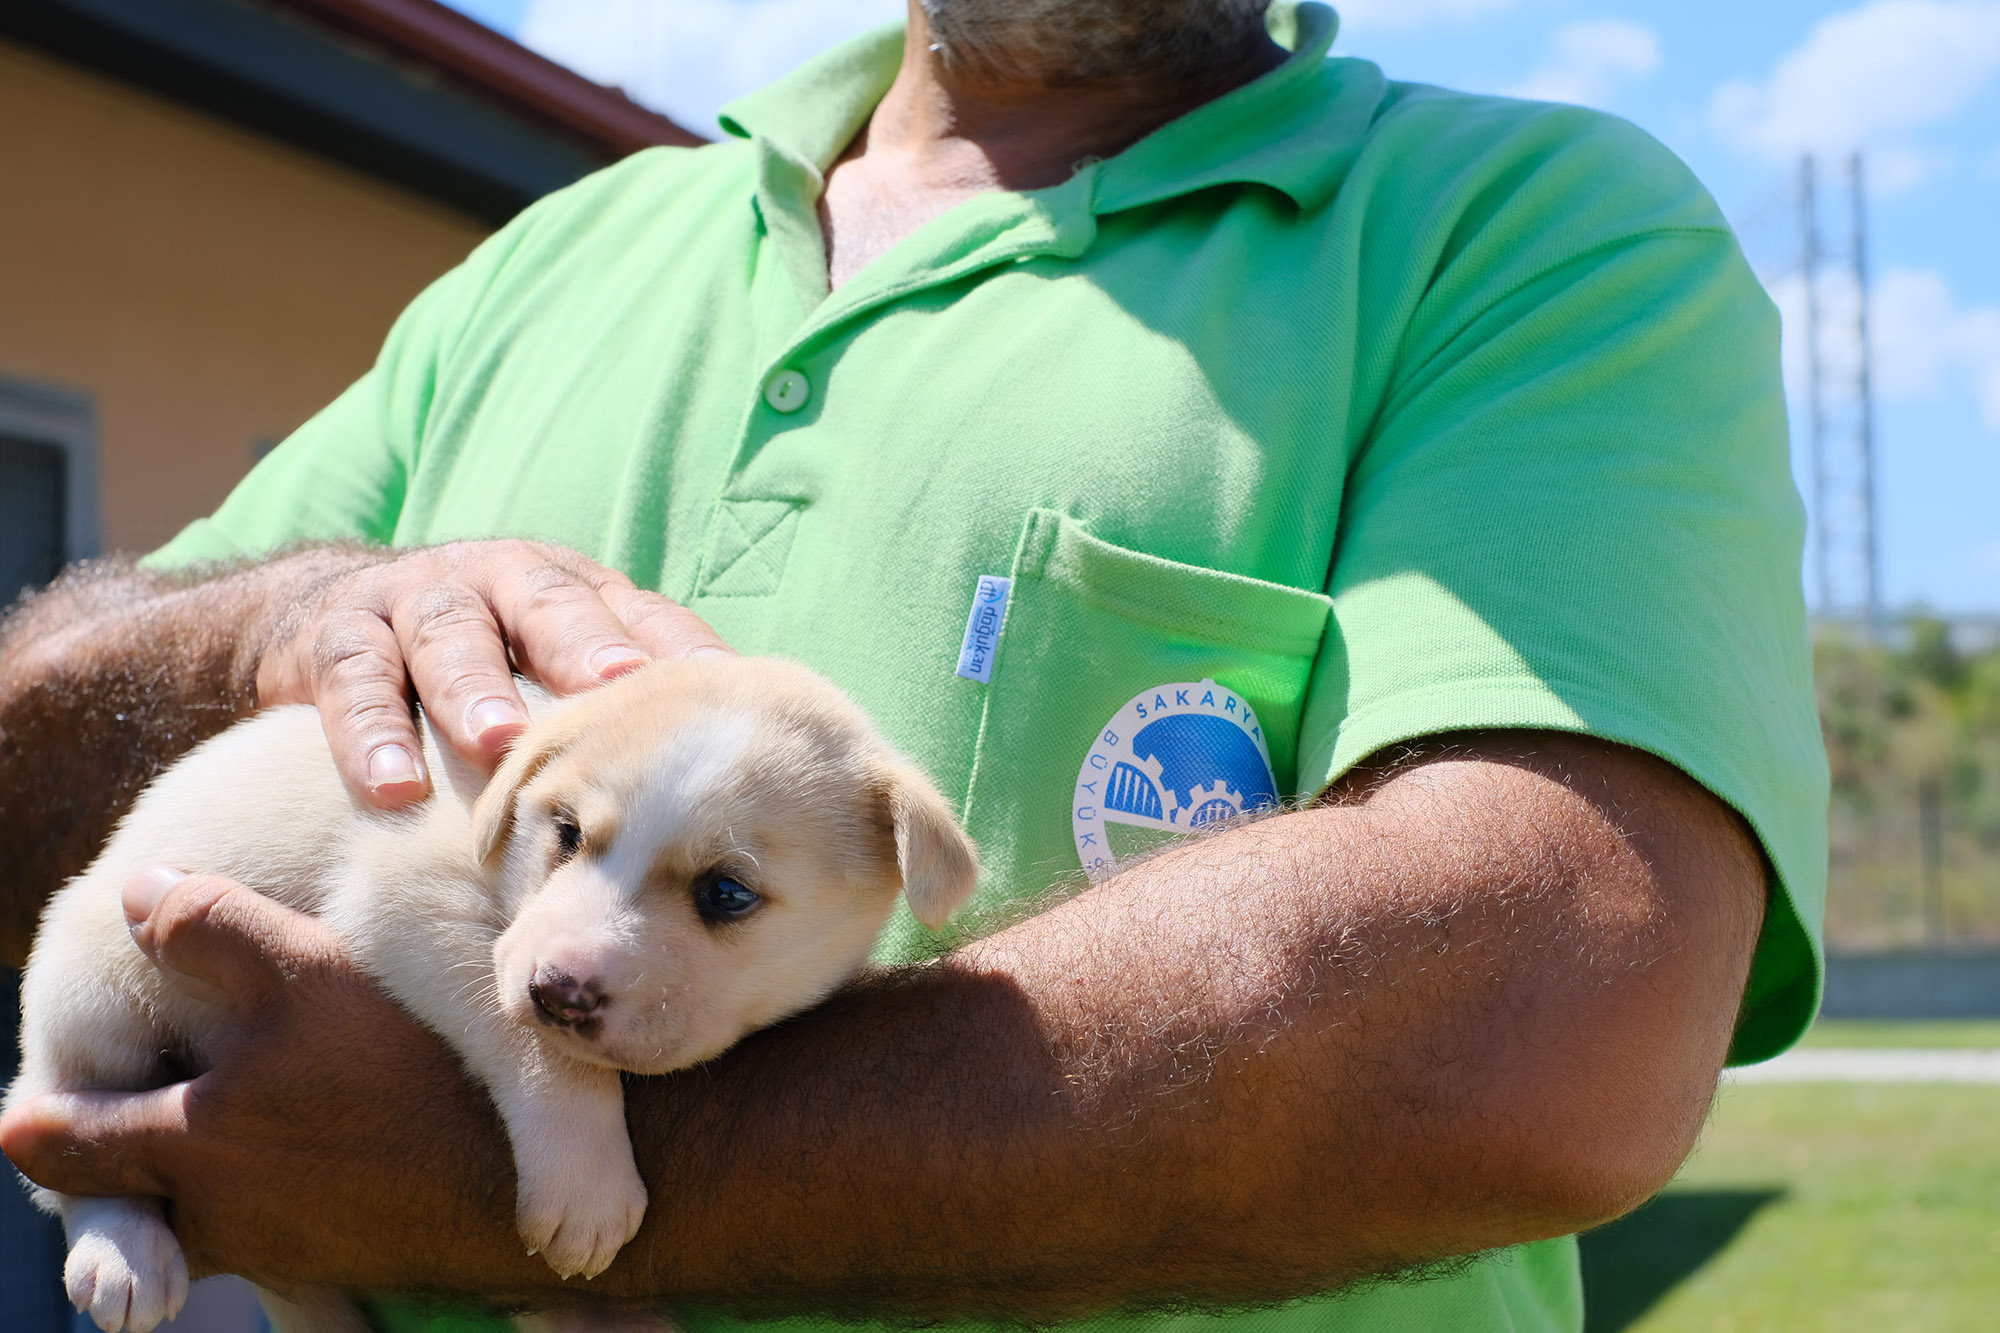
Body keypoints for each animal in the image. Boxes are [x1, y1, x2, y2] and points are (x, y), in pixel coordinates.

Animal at [7, 652, 976, 1328]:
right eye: (567, 832)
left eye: (727, 893)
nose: (559, 990)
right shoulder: (408, 897)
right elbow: (535, 1047)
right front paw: (584, 1179)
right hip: (94, 984)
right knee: (65, 1130)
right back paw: (123, 1250)